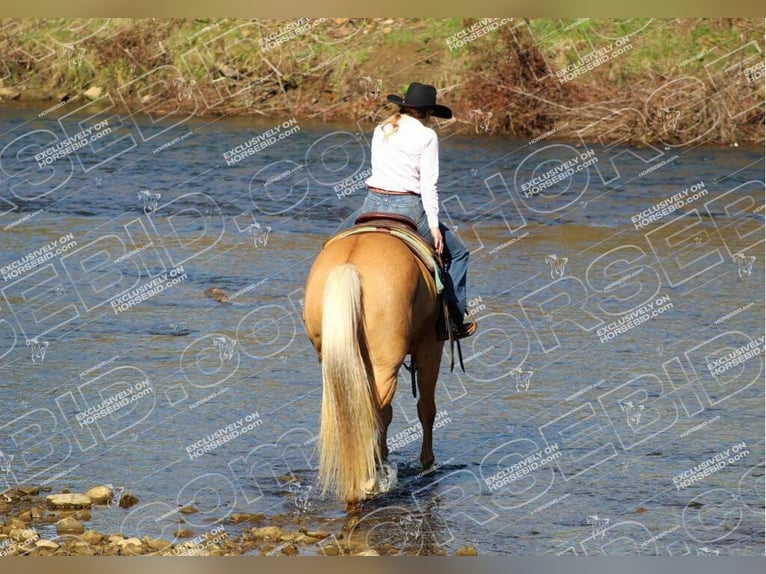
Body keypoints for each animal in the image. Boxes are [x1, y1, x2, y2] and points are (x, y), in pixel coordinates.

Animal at [302, 230, 444, 508]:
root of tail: (349, 266)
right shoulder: (432, 346)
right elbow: (426, 408)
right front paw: (427, 461)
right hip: (385, 365)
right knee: (377, 412)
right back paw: (368, 480)